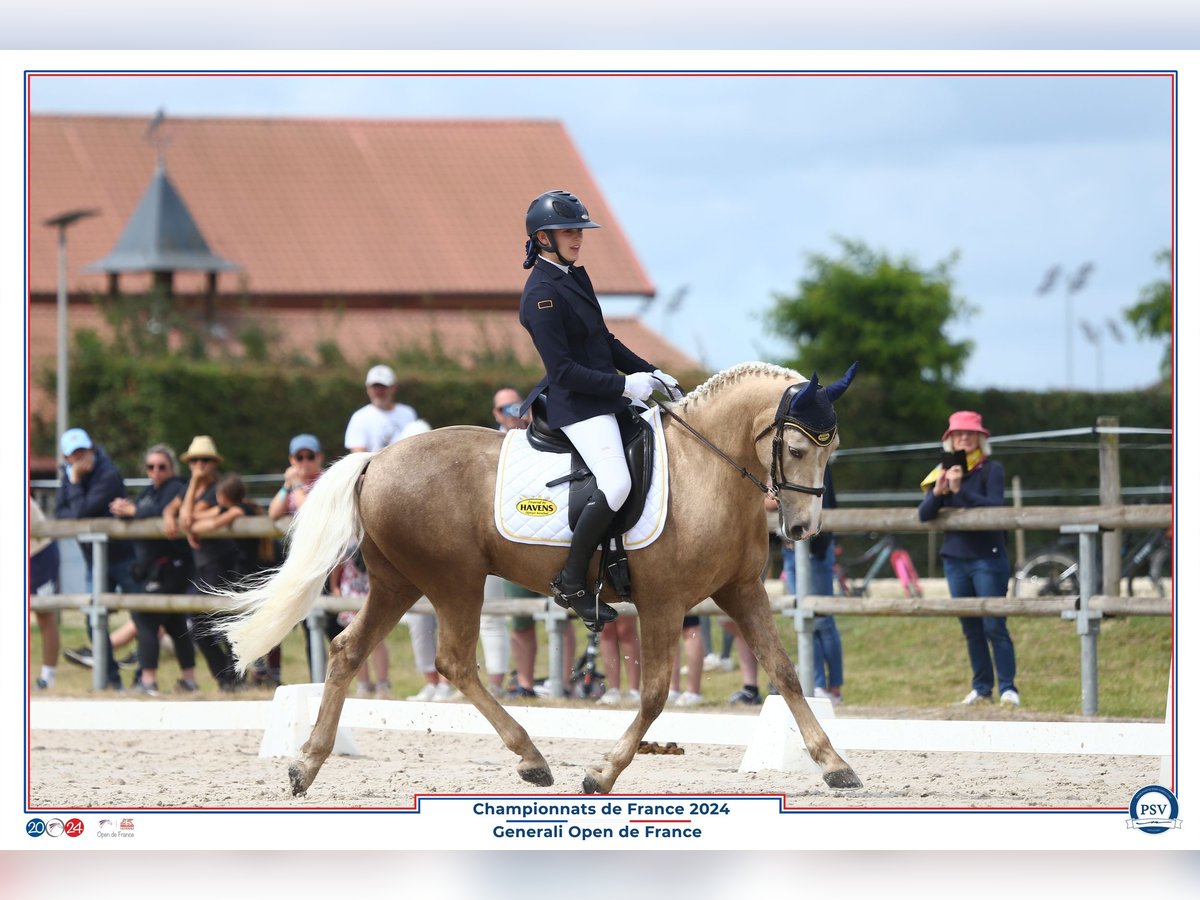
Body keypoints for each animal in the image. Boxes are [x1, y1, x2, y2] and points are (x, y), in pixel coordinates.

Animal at [218, 360, 864, 796]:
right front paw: (602, 773)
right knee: (453, 661)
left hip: (399, 581)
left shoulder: (741, 591)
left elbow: (785, 672)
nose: (802, 528)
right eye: (798, 449)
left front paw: (835, 765)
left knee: (350, 650)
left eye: (832, 448)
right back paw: (530, 757)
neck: (708, 469)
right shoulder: (664, 601)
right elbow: (655, 693)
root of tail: (376, 459)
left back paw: (306, 764)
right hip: (453, 578)